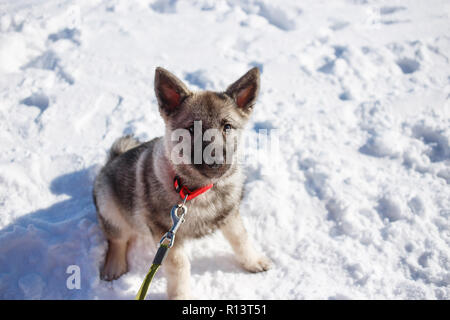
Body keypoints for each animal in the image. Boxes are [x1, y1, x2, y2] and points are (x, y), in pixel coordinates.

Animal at [92, 66, 270, 298]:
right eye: (192, 129)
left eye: (227, 127)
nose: (216, 162)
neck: (198, 189)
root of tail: (112, 160)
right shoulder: (166, 234)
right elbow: (179, 267)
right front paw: (181, 295)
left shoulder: (229, 214)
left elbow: (241, 239)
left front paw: (253, 261)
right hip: (109, 205)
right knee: (117, 238)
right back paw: (114, 266)